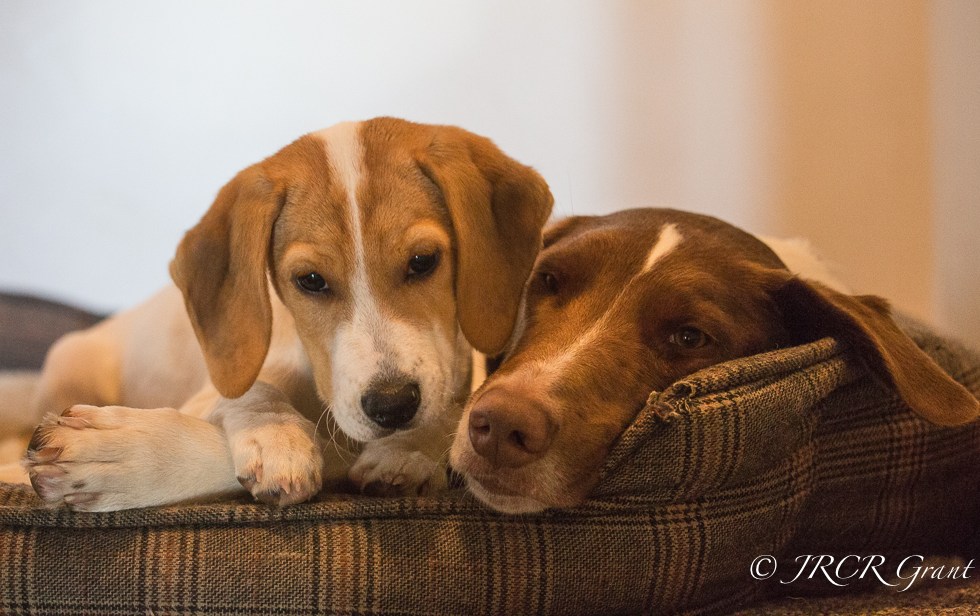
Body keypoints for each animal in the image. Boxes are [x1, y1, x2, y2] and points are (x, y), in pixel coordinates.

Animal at [0, 117, 553, 512]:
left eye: (423, 262)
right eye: (310, 281)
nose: (393, 406)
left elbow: (456, 403)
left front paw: (412, 448)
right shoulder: (210, 393)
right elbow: (253, 389)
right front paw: (278, 436)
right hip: (73, 365)